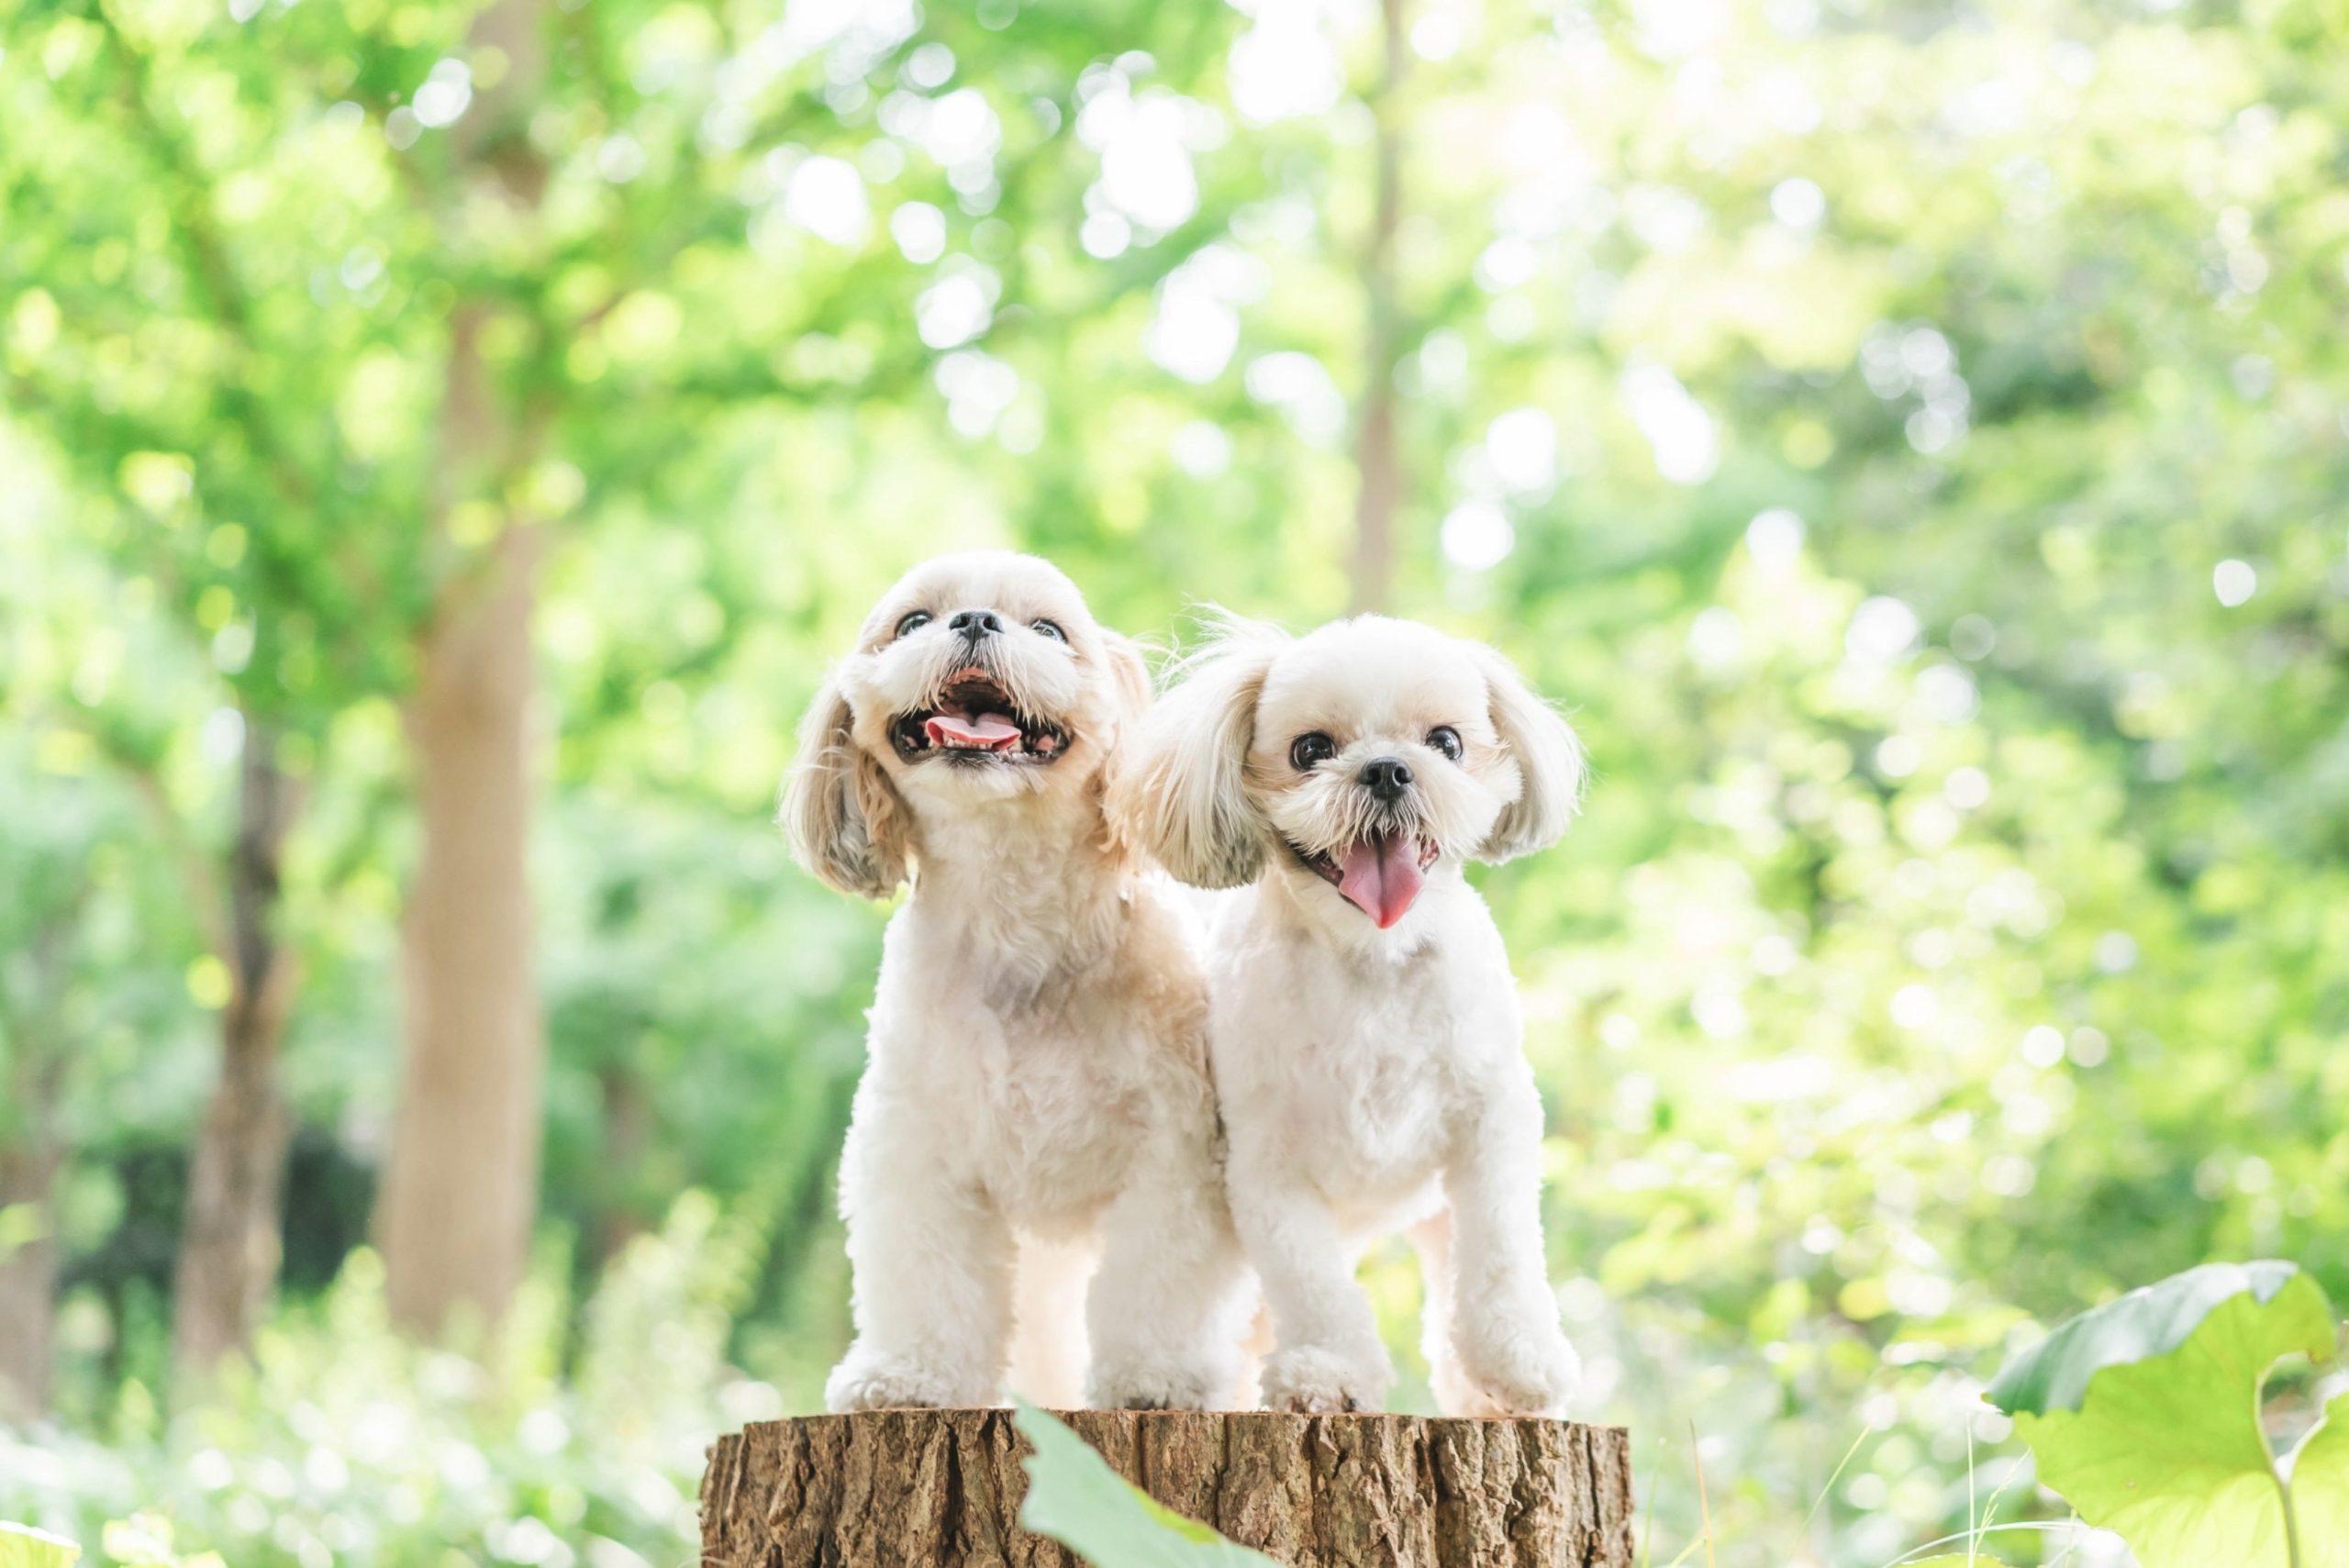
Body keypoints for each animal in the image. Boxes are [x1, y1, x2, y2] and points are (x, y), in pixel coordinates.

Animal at [779, 551, 1249, 1408]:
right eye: (913, 622)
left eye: (1050, 631)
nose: (974, 620)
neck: (1016, 915)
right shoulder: (918, 1144)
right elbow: (925, 1275)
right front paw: (908, 1374)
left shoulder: (1173, 1150)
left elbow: (1160, 1277)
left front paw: (1154, 1377)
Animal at [1108, 615, 1587, 1418]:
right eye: (1311, 749)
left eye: (1446, 742)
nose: (1388, 770)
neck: (1372, 963)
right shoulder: (1263, 1163)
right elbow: (1313, 1282)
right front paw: (1328, 1371)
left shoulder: (1493, 1119)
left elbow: (1502, 1250)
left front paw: (1519, 1359)